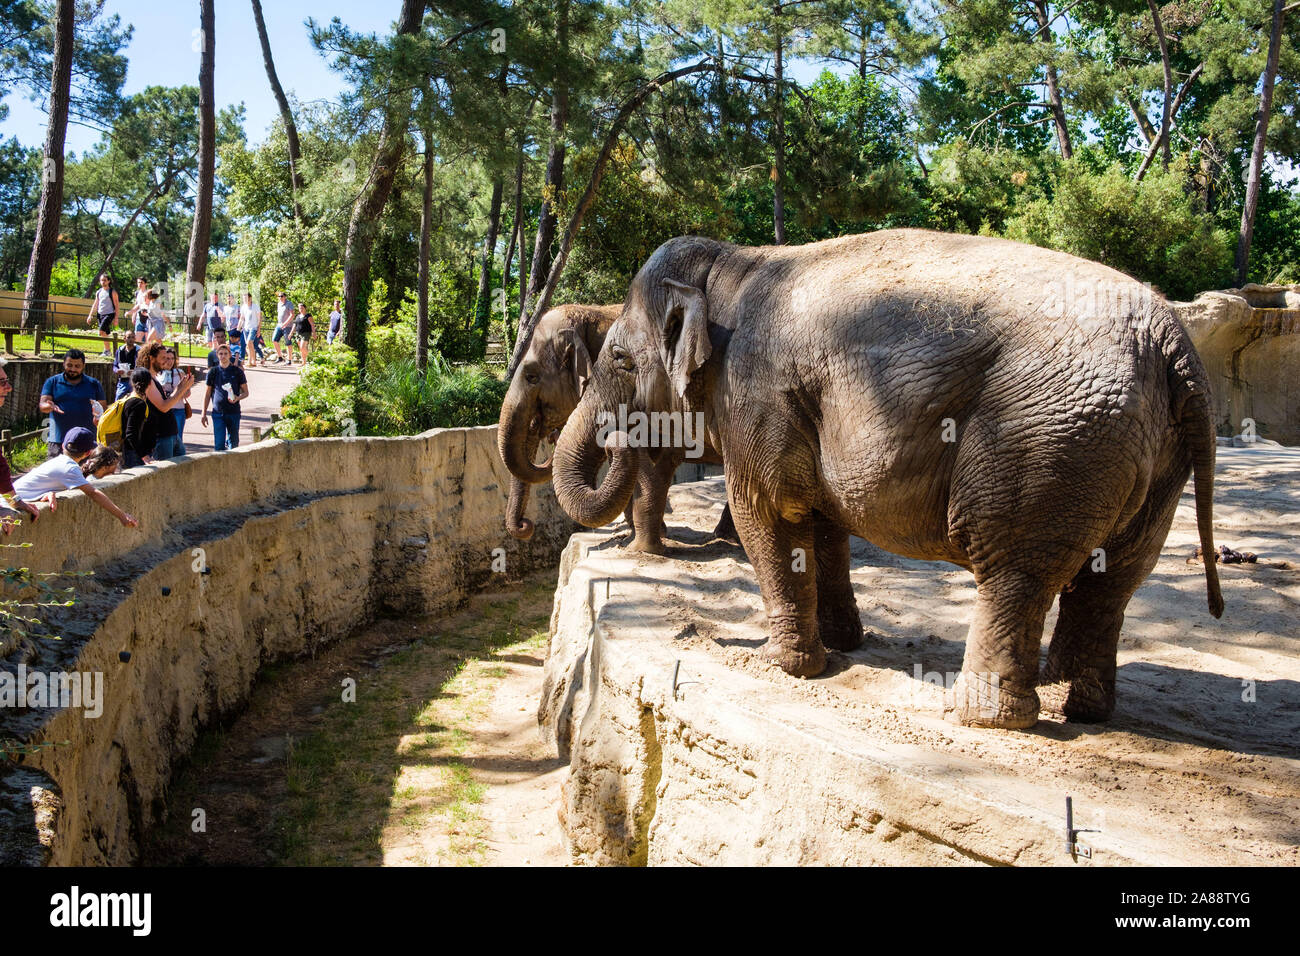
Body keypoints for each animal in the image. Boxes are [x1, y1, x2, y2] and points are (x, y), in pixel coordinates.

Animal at [553, 231, 1222, 733]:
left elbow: (769, 513)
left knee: (1015, 569)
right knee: (1114, 578)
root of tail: (1172, 342)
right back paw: (1079, 706)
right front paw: (843, 645)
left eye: (619, 360)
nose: (624, 437)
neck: (733, 261)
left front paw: (782, 666)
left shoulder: (756, 392)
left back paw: (982, 718)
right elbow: (822, 523)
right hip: (1145, 459)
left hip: (1047, 442)